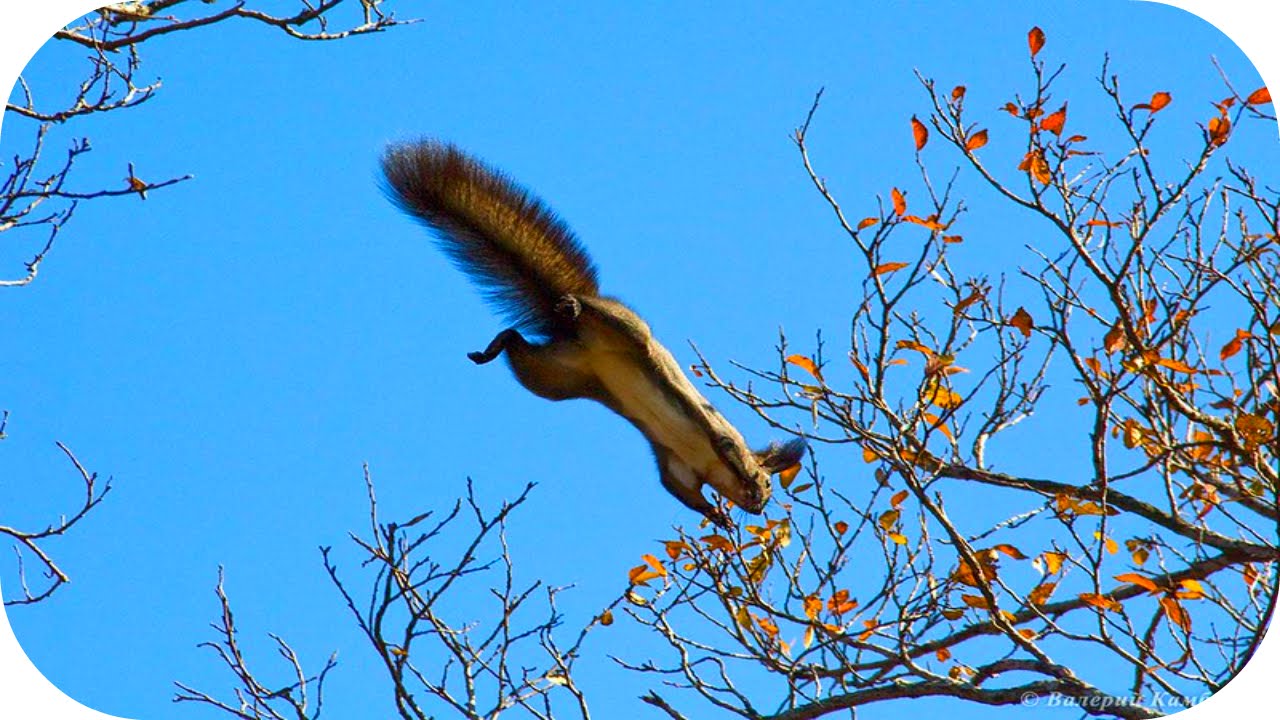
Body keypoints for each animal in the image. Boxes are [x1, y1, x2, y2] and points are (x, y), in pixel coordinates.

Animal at [380, 140, 805, 528]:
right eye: (768, 482)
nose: (759, 506)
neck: (706, 462)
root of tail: (575, 334)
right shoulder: (716, 434)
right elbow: (725, 448)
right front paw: (737, 486)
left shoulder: (677, 465)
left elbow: (680, 491)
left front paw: (717, 517)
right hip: (624, 330)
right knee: (599, 317)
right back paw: (572, 308)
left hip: (553, 377)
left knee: (517, 344)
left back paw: (496, 346)